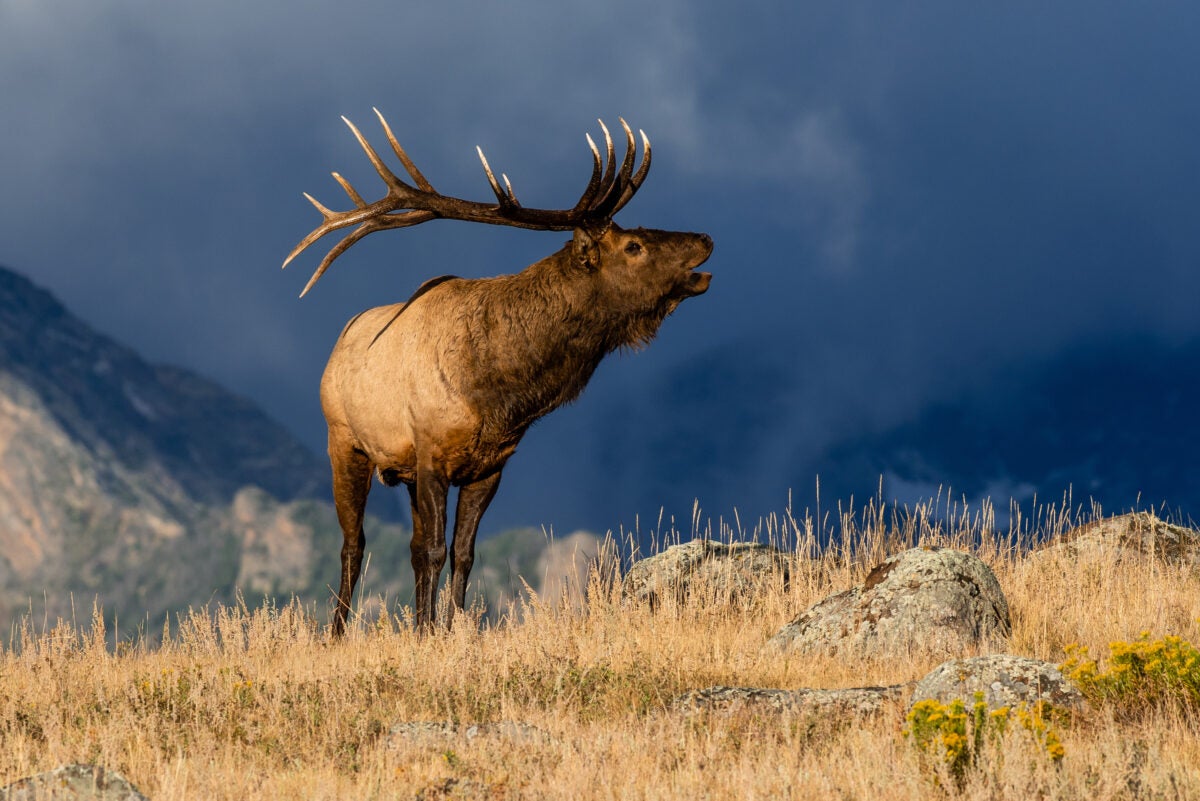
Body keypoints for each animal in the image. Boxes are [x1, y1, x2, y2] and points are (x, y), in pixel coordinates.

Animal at [283, 109, 710, 633]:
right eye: (633, 245)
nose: (705, 238)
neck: (497, 393)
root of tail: (338, 343)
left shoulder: (490, 465)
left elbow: (461, 554)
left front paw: (449, 629)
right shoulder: (431, 453)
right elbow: (433, 550)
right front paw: (427, 633)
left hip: (400, 469)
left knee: (406, 546)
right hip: (344, 441)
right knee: (353, 545)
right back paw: (337, 633)